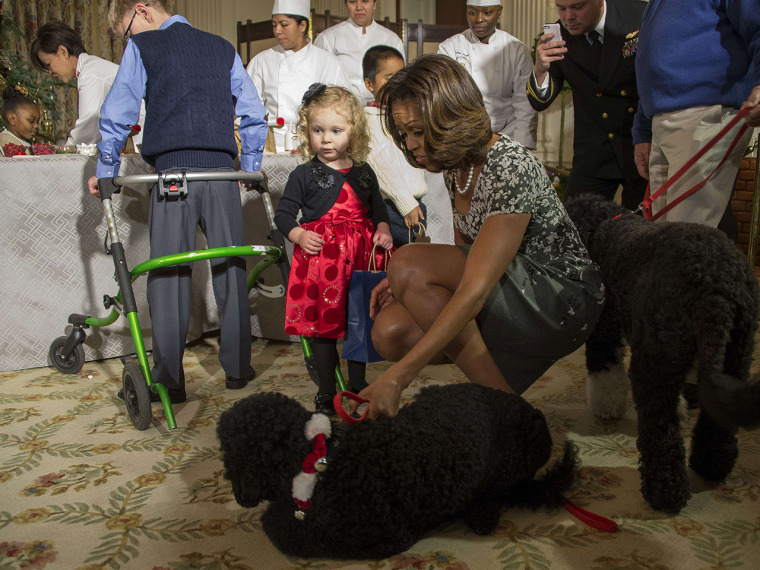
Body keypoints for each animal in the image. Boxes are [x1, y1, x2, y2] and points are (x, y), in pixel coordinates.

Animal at [218, 382, 576, 560]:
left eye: (228, 454)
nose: (237, 494)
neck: (324, 457)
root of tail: (536, 416)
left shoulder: (376, 538)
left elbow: (281, 530)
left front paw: (272, 517)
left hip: (507, 467)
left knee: (498, 492)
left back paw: (481, 515)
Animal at [564, 194, 760, 510]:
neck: (603, 225)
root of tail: (717, 288)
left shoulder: (605, 328)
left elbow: (605, 372)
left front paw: (607, 407)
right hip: (735, 356)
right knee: (718, 422)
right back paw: (711, 466)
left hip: (652, 364)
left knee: (662, 435)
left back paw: (665, 493)